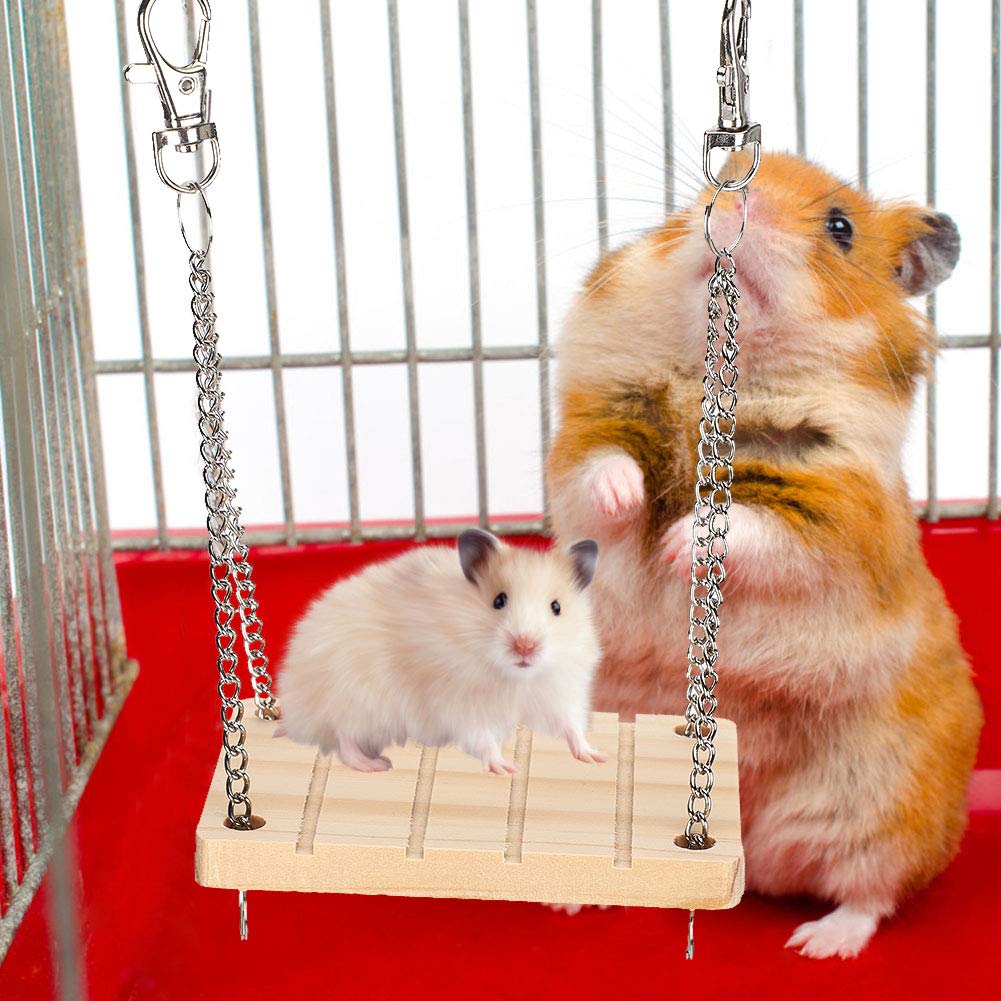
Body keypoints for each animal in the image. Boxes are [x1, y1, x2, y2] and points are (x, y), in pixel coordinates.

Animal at [277, 530, 606, 774]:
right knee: (343, 738)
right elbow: (483, 739)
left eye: (556, 607)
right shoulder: (462, 705)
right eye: (498, 601)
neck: (515, 678)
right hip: (354, 698)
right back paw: (375, 764)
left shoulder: (560, 691)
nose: (526, 646)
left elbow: (571, 726)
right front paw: (507, 768)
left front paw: (595, 756)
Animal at [547, 151, 983, 959]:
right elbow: (600, 472)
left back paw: (816, 943)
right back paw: (574, 900)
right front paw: (635, 504)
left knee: (871, 891)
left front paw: (681, 546)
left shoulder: (833, 510)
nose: (732, 207)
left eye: (840, 228)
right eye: (716, 174)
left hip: (883, 812)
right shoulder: (593, 421)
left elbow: (753, 527)